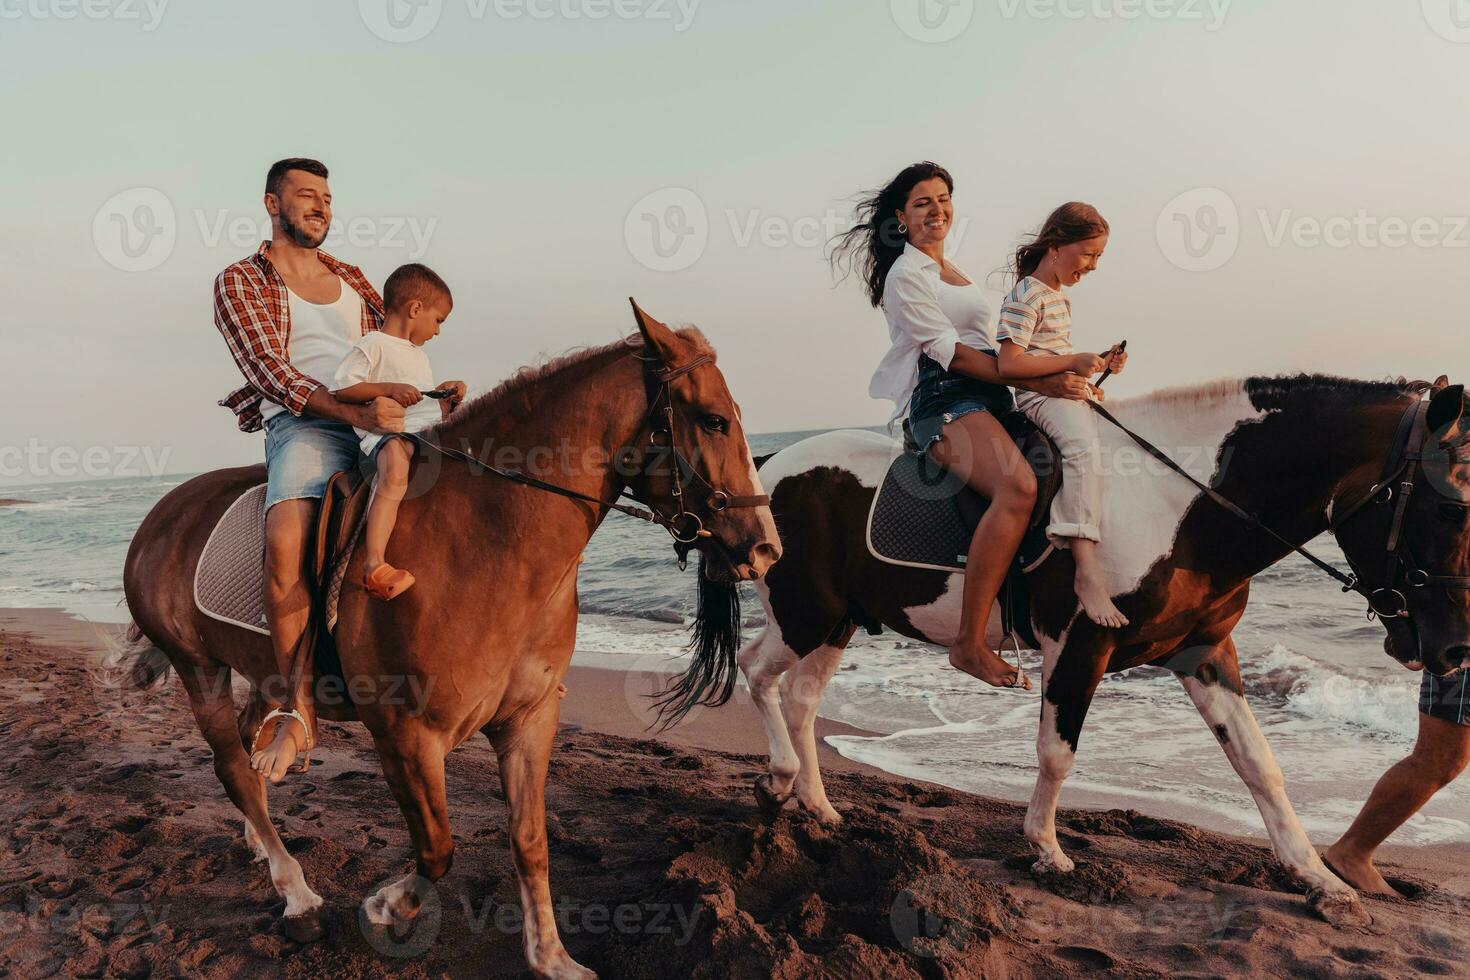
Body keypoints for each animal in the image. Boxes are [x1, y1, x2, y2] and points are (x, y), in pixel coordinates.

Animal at [117, 302, 782, 975]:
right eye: (714, 420)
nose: (765, 548)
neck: (485, 539)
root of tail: (162, 515)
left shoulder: (529, 720)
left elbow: (530, 840)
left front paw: (551, 956)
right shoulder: (405, 737)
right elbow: (438, 849)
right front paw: (389, 906)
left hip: (257, 671)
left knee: (254, 749)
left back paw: (266, 823)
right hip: (198, 667)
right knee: (232, 767)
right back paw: (297, 894)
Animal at [735, 376, 1470, 928]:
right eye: (1450, 510)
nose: (1455, 650)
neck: (1175, 507)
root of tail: (772, 466)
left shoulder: (1204, 652)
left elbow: (1259, 764)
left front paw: (1316, 878)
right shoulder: (1078, 646)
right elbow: (1057, 753)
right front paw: (1047, 851)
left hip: (837, 622)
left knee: (799, 698)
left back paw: (817, 806)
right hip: (806, 615)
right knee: (757, 674)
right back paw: (777, 777)